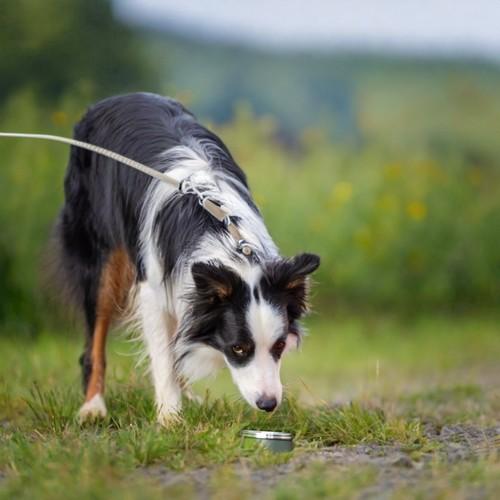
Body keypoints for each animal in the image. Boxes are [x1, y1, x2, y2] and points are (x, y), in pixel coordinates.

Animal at [55, 92, 320, 424]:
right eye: (238, 348)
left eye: (280, 345)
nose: (268, 404)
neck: (221, 233)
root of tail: (120, 97)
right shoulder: (152, 289)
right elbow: (164, 355)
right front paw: (170, 418)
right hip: (99, 254)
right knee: (96, 338)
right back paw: (93, 406)